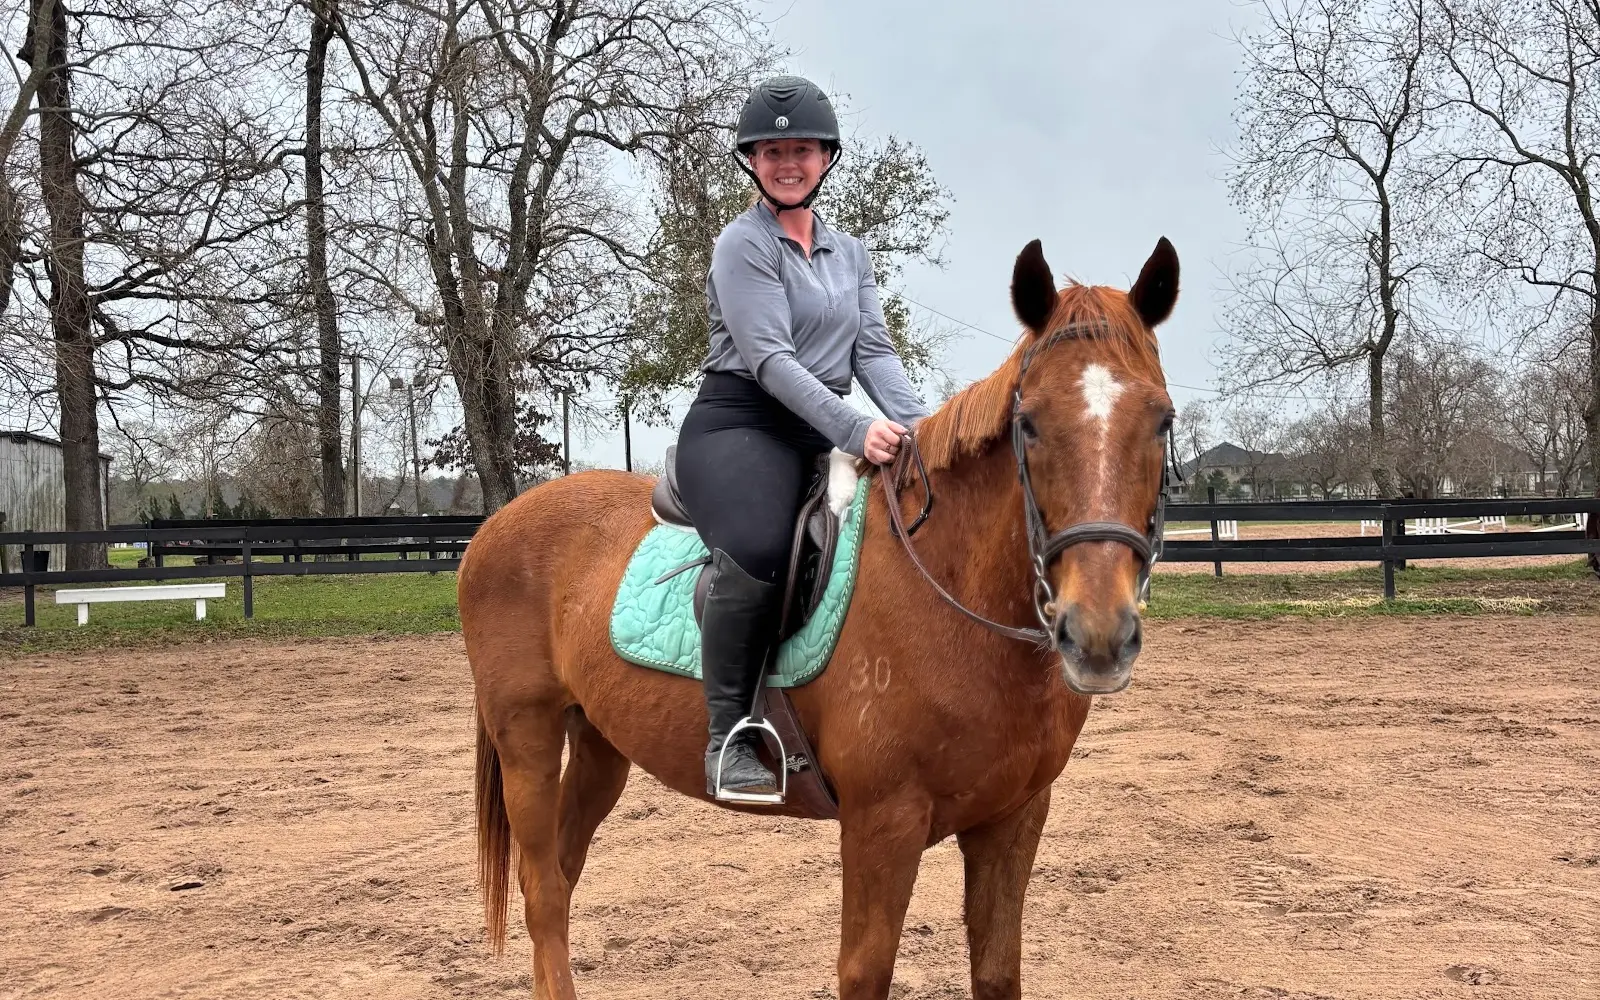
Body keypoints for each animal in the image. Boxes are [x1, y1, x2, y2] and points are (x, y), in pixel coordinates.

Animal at [462, 236, 1180, 1000]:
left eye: (1162, 419)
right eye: (1029, 422)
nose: (1098, 635)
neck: (952, 596)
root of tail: (495, 526)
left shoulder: (1013, 818)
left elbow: (997, 970)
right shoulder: (881, 824)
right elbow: (864, 972)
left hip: (599, 742)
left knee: (561, 878)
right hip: (528, 737)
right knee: (542, 889)